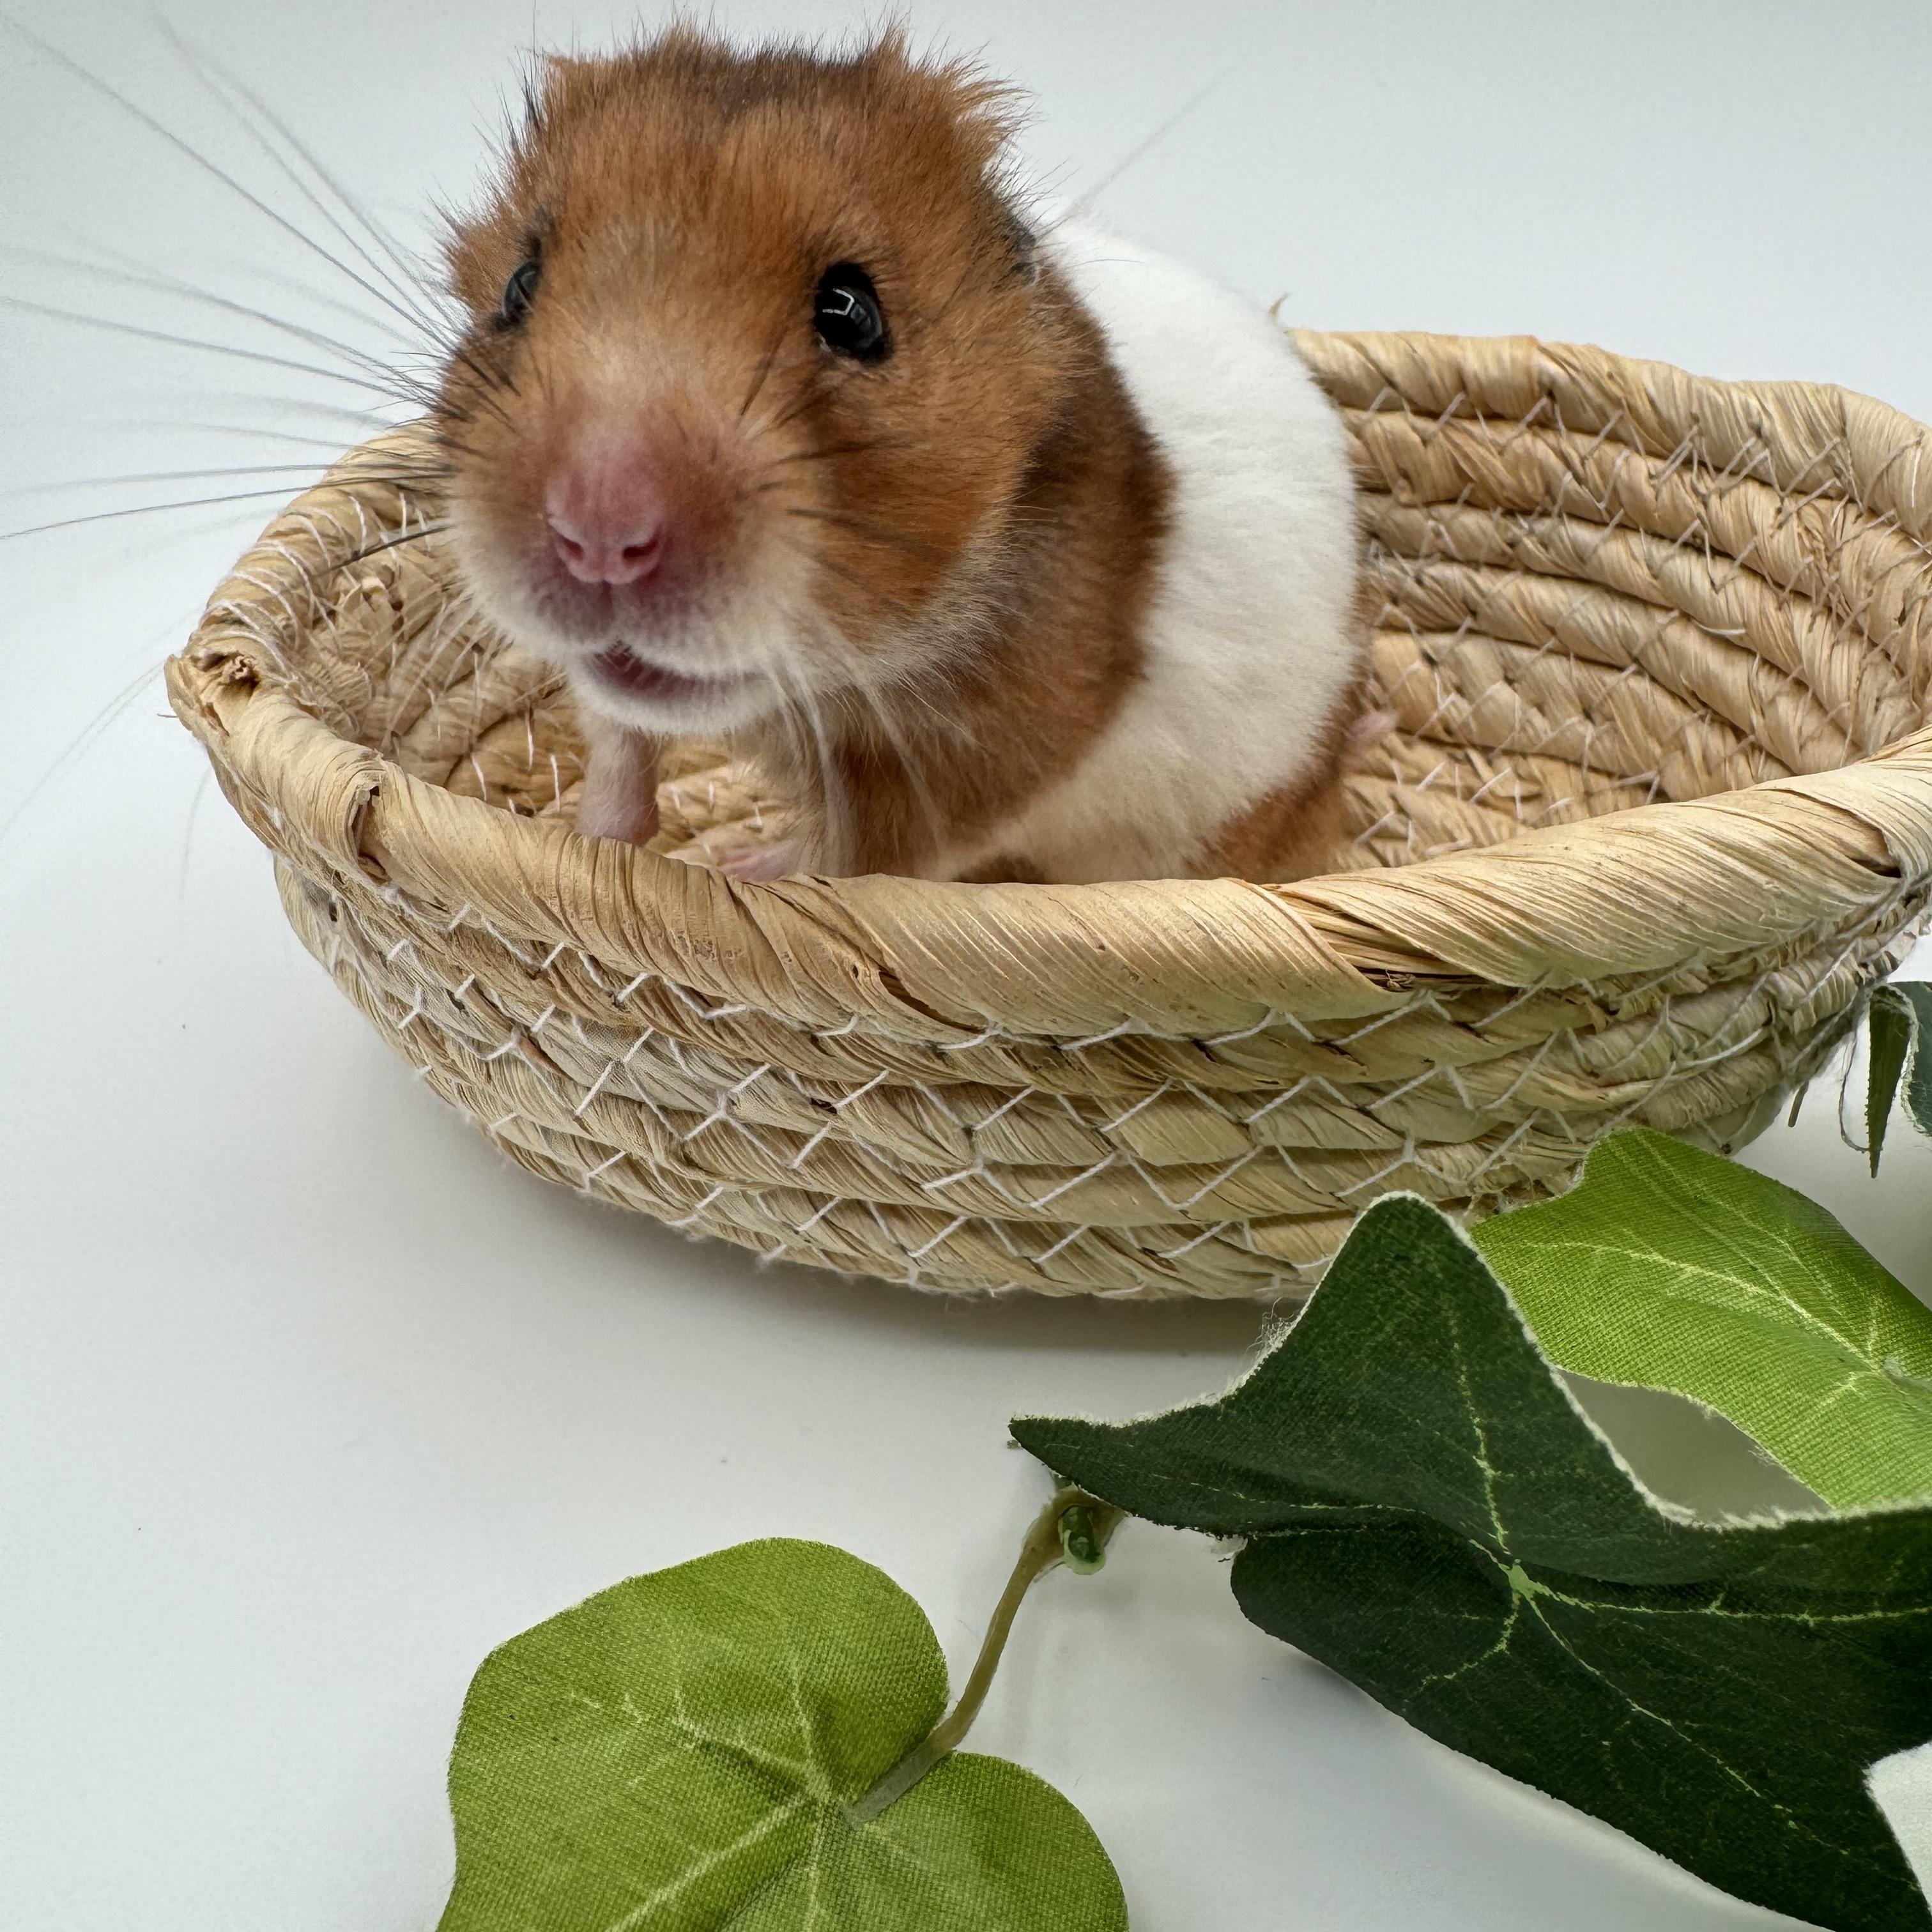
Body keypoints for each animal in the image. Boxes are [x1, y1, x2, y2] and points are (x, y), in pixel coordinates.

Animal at [434, 28, 1367, 884]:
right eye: (520, 285)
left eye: (853, 312)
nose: (598, 533)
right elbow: (618, 731)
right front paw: (598, 844)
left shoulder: (989, 754)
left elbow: (850, 856)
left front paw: (733, 868)